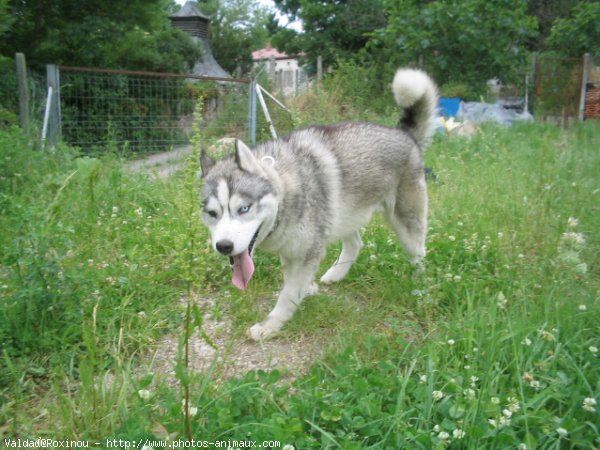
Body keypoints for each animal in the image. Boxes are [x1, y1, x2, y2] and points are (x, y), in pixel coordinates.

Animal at [199, 68, 438, 340]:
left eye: (243, 209)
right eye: (212, 213)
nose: (224, 246)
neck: (286, 192)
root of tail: (403, 133)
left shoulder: (306, 252)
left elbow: (288, 294)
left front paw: (271, 324)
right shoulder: (293, 250)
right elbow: (292, 281)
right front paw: (306, 289)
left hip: (406, 222)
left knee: (418, 252)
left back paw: (419, 284)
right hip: (342, 215)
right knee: (355, 244)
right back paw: (335, 274)